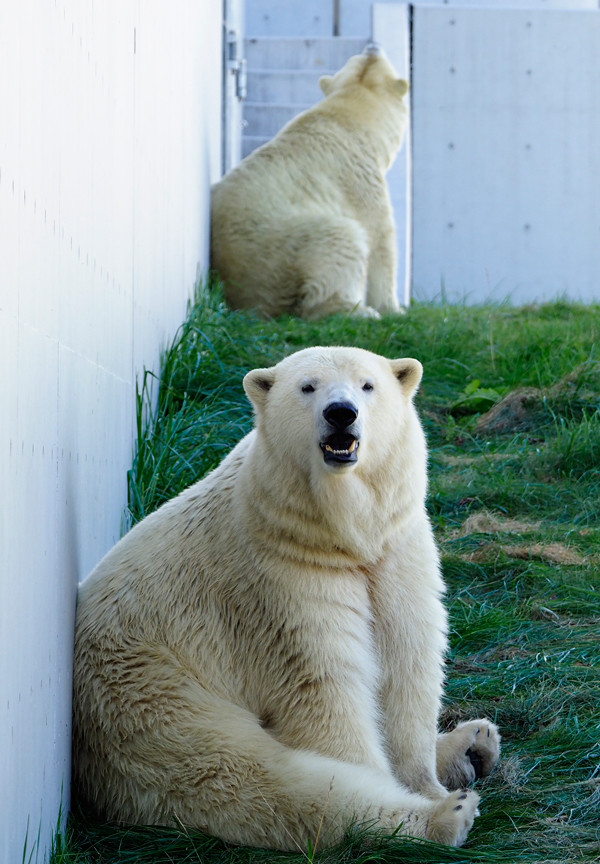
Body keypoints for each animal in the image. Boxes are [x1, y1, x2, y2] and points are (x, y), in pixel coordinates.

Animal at [72, 346, 500, 852]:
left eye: (368, 385)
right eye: (307, 387)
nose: (341, 413)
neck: (337, 536)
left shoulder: (395, 555)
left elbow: (405, 661)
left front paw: (426, 779)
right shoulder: (279, 581)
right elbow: (323, 689)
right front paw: (425, 797)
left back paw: (472, 743)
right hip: (150, 697)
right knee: (246, 776)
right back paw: (446, 815)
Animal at [210, 44, 408, 320]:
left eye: (361, 55)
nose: (373, 46)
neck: (347, 120)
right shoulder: (360, 180)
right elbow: (380, 238)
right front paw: (393, 309)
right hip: (290, 247)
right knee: (342, 239)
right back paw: (356, 310)